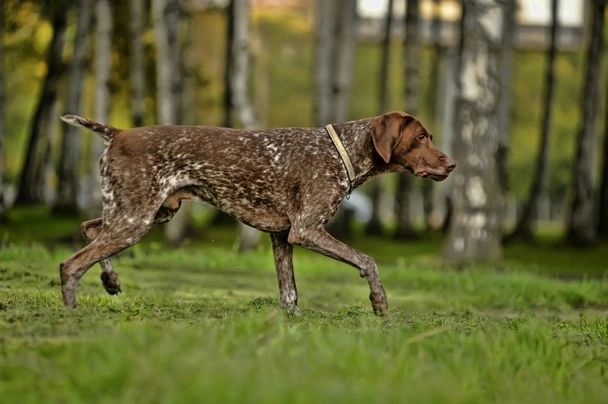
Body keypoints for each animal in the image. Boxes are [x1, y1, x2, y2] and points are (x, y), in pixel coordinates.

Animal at [58, 111, 456, 316]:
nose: (451, 165)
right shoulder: (306, 230)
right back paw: (71, 314)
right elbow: (368, 260)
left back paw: (110, 280)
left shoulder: (282, 236)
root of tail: (117, 132)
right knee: (71, 264)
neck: (341, 150)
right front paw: (379, 301)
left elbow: (289, 293)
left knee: (88, 228)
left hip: (146, 212)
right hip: (135, 219)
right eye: (421, 137)